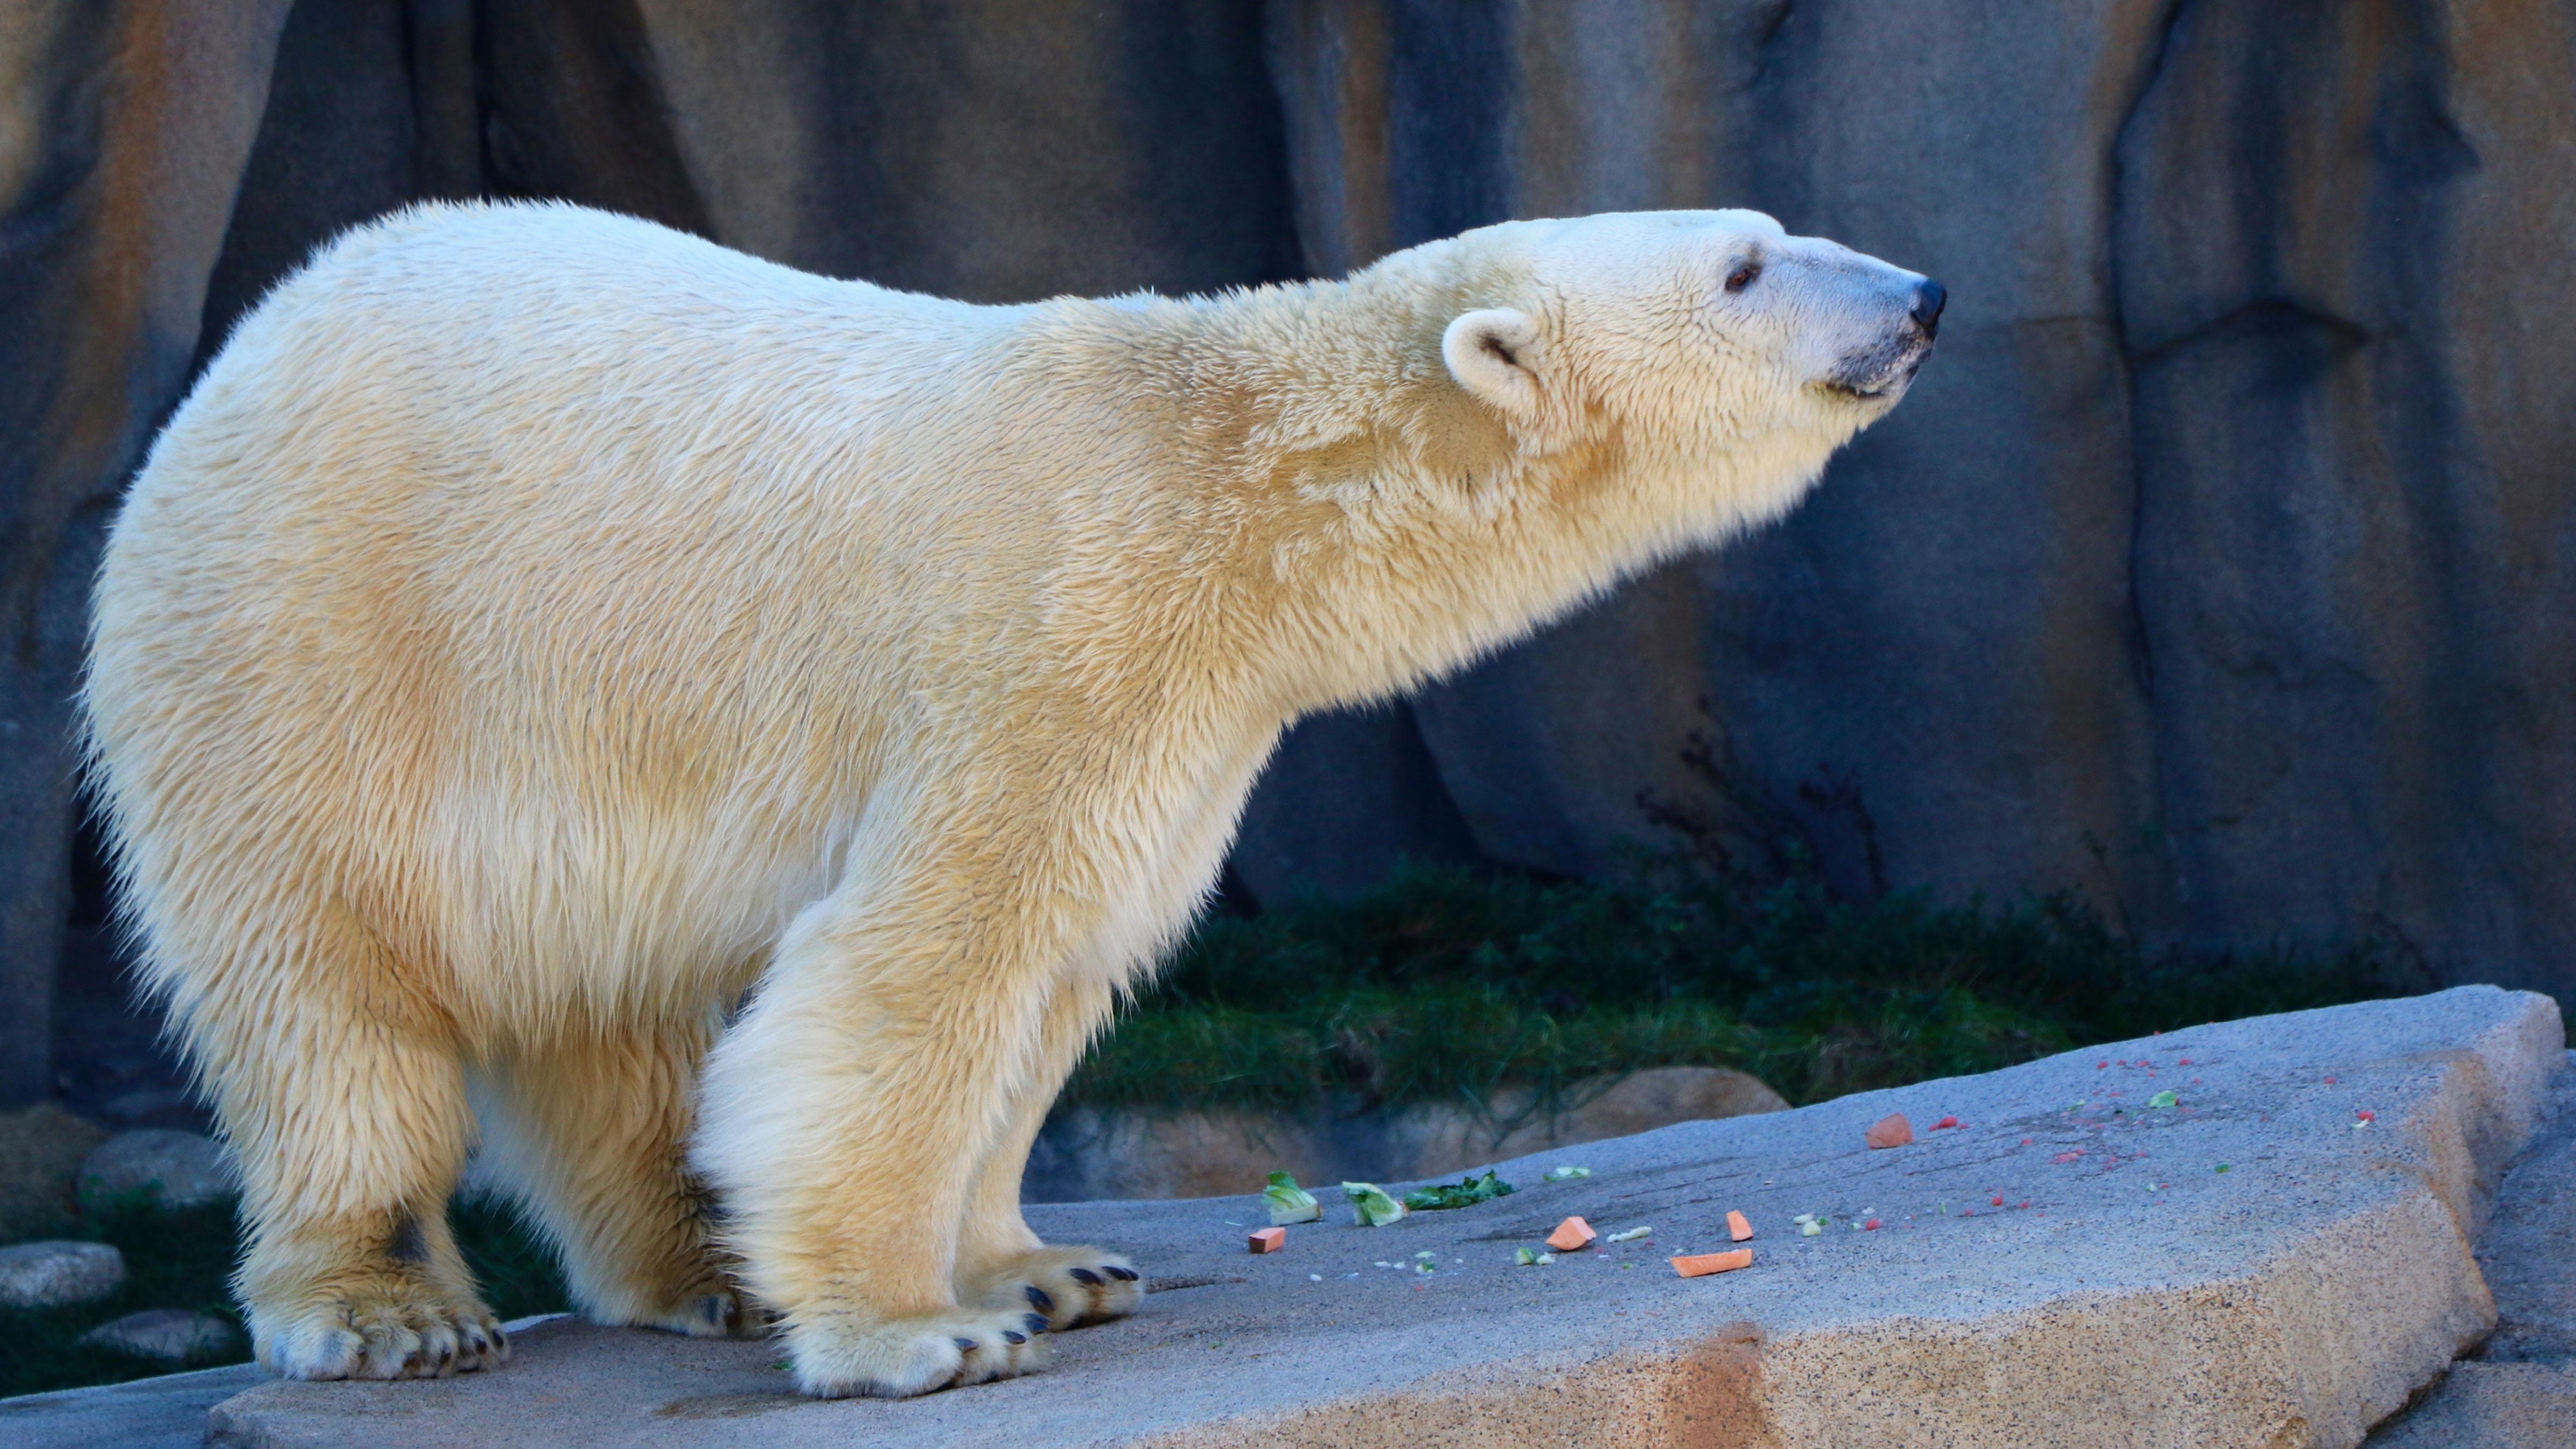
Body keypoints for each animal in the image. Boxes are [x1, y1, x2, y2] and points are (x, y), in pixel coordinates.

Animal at [85, 200, 1937, 1392]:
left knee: (615, 1009)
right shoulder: (1050, 633)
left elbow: (1059, 963)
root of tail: (250, 342)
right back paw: (386, 1306)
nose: (1919, 293)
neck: (1233, 476)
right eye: (1744, 265)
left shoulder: (1185, 720)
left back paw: (705, 1266)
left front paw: (1046, 1268)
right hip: (315, 650)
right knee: (326, 994)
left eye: (1774, 227)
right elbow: (926, 966)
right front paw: (920, 1331)